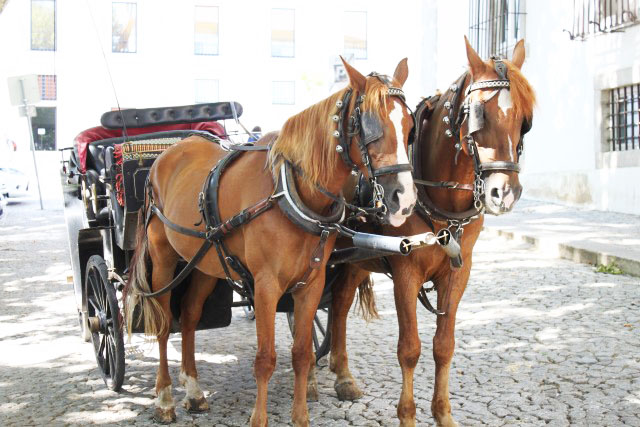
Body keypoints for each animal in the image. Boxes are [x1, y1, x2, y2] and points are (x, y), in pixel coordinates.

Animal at [124, 58, 418, 426]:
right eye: (370, 126)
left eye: (410, 125)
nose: (404, 199)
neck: (291, 192)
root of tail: (168, 153)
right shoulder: (265, 285)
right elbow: (266, 358)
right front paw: (259, 418)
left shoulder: (311, 284)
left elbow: (302, 353)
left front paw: (301, 416)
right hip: (164, 261)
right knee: (165, 323)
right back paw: (165, 398)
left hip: (204, 263)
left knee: (189, 318)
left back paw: (193, 390)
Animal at [322, 37, 536, 427]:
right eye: (480, 115)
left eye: (524, 120)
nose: (505, 192)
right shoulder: (406, 272)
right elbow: (409, 349)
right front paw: (407, 415)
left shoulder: (458, 272)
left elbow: (443, 346)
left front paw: (442, 413)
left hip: (357, 259)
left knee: (340, 304)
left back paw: (342, 374)